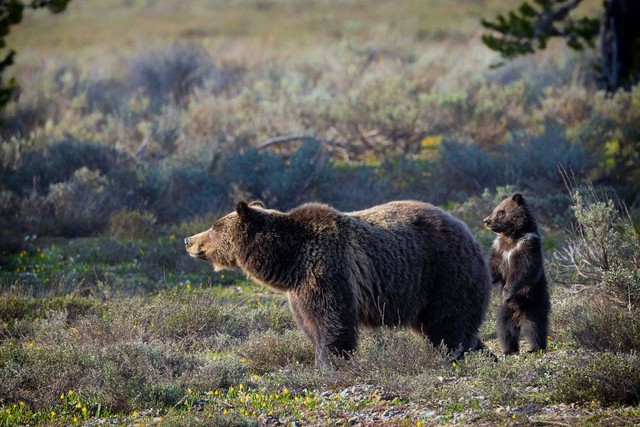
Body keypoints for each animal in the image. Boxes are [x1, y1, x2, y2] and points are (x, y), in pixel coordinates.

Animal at [185, 200, 492, 367]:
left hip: (444, 273)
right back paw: (483, 354)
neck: (288, 258)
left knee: (448, 324)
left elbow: (332, 319)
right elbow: (310, 323)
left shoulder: (326, 268)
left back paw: (450, 355)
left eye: (214, 226)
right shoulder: (299, 289)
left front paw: (329, 363)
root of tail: (470, 233)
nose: (189, 240)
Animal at [483, 193, 551, 355]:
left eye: (501, 212)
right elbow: (493, 268)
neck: (511, 237)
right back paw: (509, 349)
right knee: (505, 327)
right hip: (505, 310)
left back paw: (535, 347)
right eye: (495, 210)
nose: (486, 220)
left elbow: (523, 271)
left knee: (534, 325)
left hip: (534, 301)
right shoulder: (499, 249)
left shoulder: (527, 246)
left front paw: (506, 292)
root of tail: (518, 313)